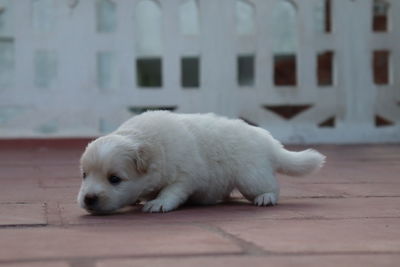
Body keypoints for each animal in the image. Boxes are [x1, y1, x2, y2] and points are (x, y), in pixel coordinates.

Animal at [77, 110, 324, 214]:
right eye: (84, 175)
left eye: (115, 179)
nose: (88, 199)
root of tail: (268, 141)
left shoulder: (186, 177)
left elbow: (171, 191)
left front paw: (158, 203)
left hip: (251, 176)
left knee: (272, 187)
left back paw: (265, 198)